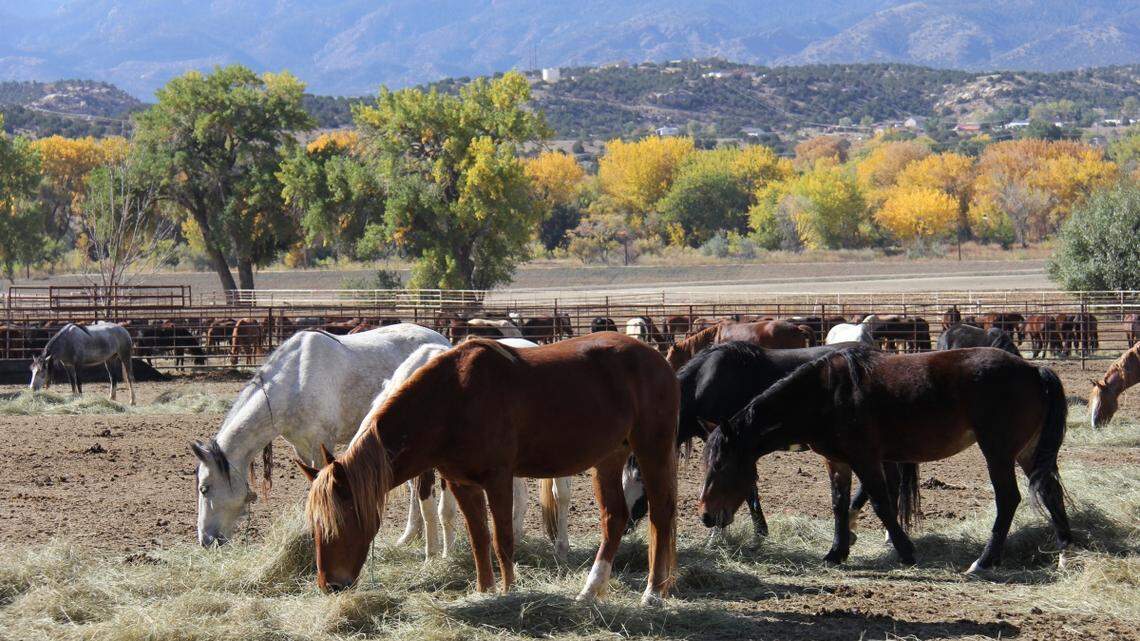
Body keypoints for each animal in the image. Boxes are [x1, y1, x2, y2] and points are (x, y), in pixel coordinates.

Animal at [190, 324, 450, 547]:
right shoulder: (302, 449)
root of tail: (443, 341)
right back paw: (410, 537)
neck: (294, 381)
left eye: (204, 488)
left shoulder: (321, 445)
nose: (206, 540)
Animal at [360, 339, 574, 560]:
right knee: (521, 497)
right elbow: (428, 508)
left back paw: (561, 547)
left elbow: (445, 510)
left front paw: (447, 553)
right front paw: (433, 555)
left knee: (561, 495)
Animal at [700, 345, 1071, 573]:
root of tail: (1033, 370)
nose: (705, 516)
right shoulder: (837, 462)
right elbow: (839, 504)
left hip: (998, 451)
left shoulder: (866, 459)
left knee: (1008, 499)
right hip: (1027, 451)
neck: (825, 394)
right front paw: (836, 552)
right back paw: (1065, 549)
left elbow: (881, 503)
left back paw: (984, 561)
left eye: (722, 466)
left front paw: (906, 551)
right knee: (1050, 491)